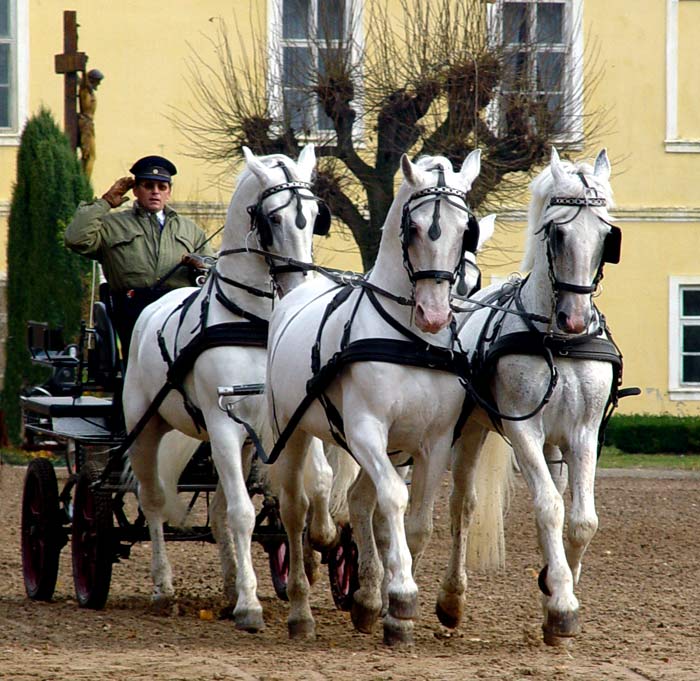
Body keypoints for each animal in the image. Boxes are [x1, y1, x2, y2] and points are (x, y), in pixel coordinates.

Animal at [122, 145, 336, 632]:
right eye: (273, 218)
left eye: (315, 215)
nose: (302, 285)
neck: (255, 321)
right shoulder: (221, 425)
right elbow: (243, 514)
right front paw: (251, 606)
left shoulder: (289, 417)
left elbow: (319, 479)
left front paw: (321, 539)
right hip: (147, 428)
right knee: (154, 501)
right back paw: (165, 589)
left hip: (240, 444)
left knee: (217, 512)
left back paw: (228, 588)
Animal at [266, 150, 492, 644]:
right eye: (414, 228)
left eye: (465, 230)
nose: (433, 314)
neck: (411, 342)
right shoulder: (366, 429)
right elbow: (393, 500)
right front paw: (402, 594)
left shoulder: (434, 441)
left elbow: (417, 522)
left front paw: (390, 607)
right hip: (293, 435)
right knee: (295, 511)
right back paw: (300, 610)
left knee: (357, 501)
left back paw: (366, 600)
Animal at [442, 146, 624, 644]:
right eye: (557, 232)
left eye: (607, 234)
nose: (575, 320)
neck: (558, 344)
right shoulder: (523, 428)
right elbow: (548, 507)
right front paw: (560, 603)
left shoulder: (583, 433)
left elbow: (581, 520)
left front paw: (556, 589)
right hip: (472, 432)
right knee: (463, 506)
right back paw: (451, 599)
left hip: (555, 445)